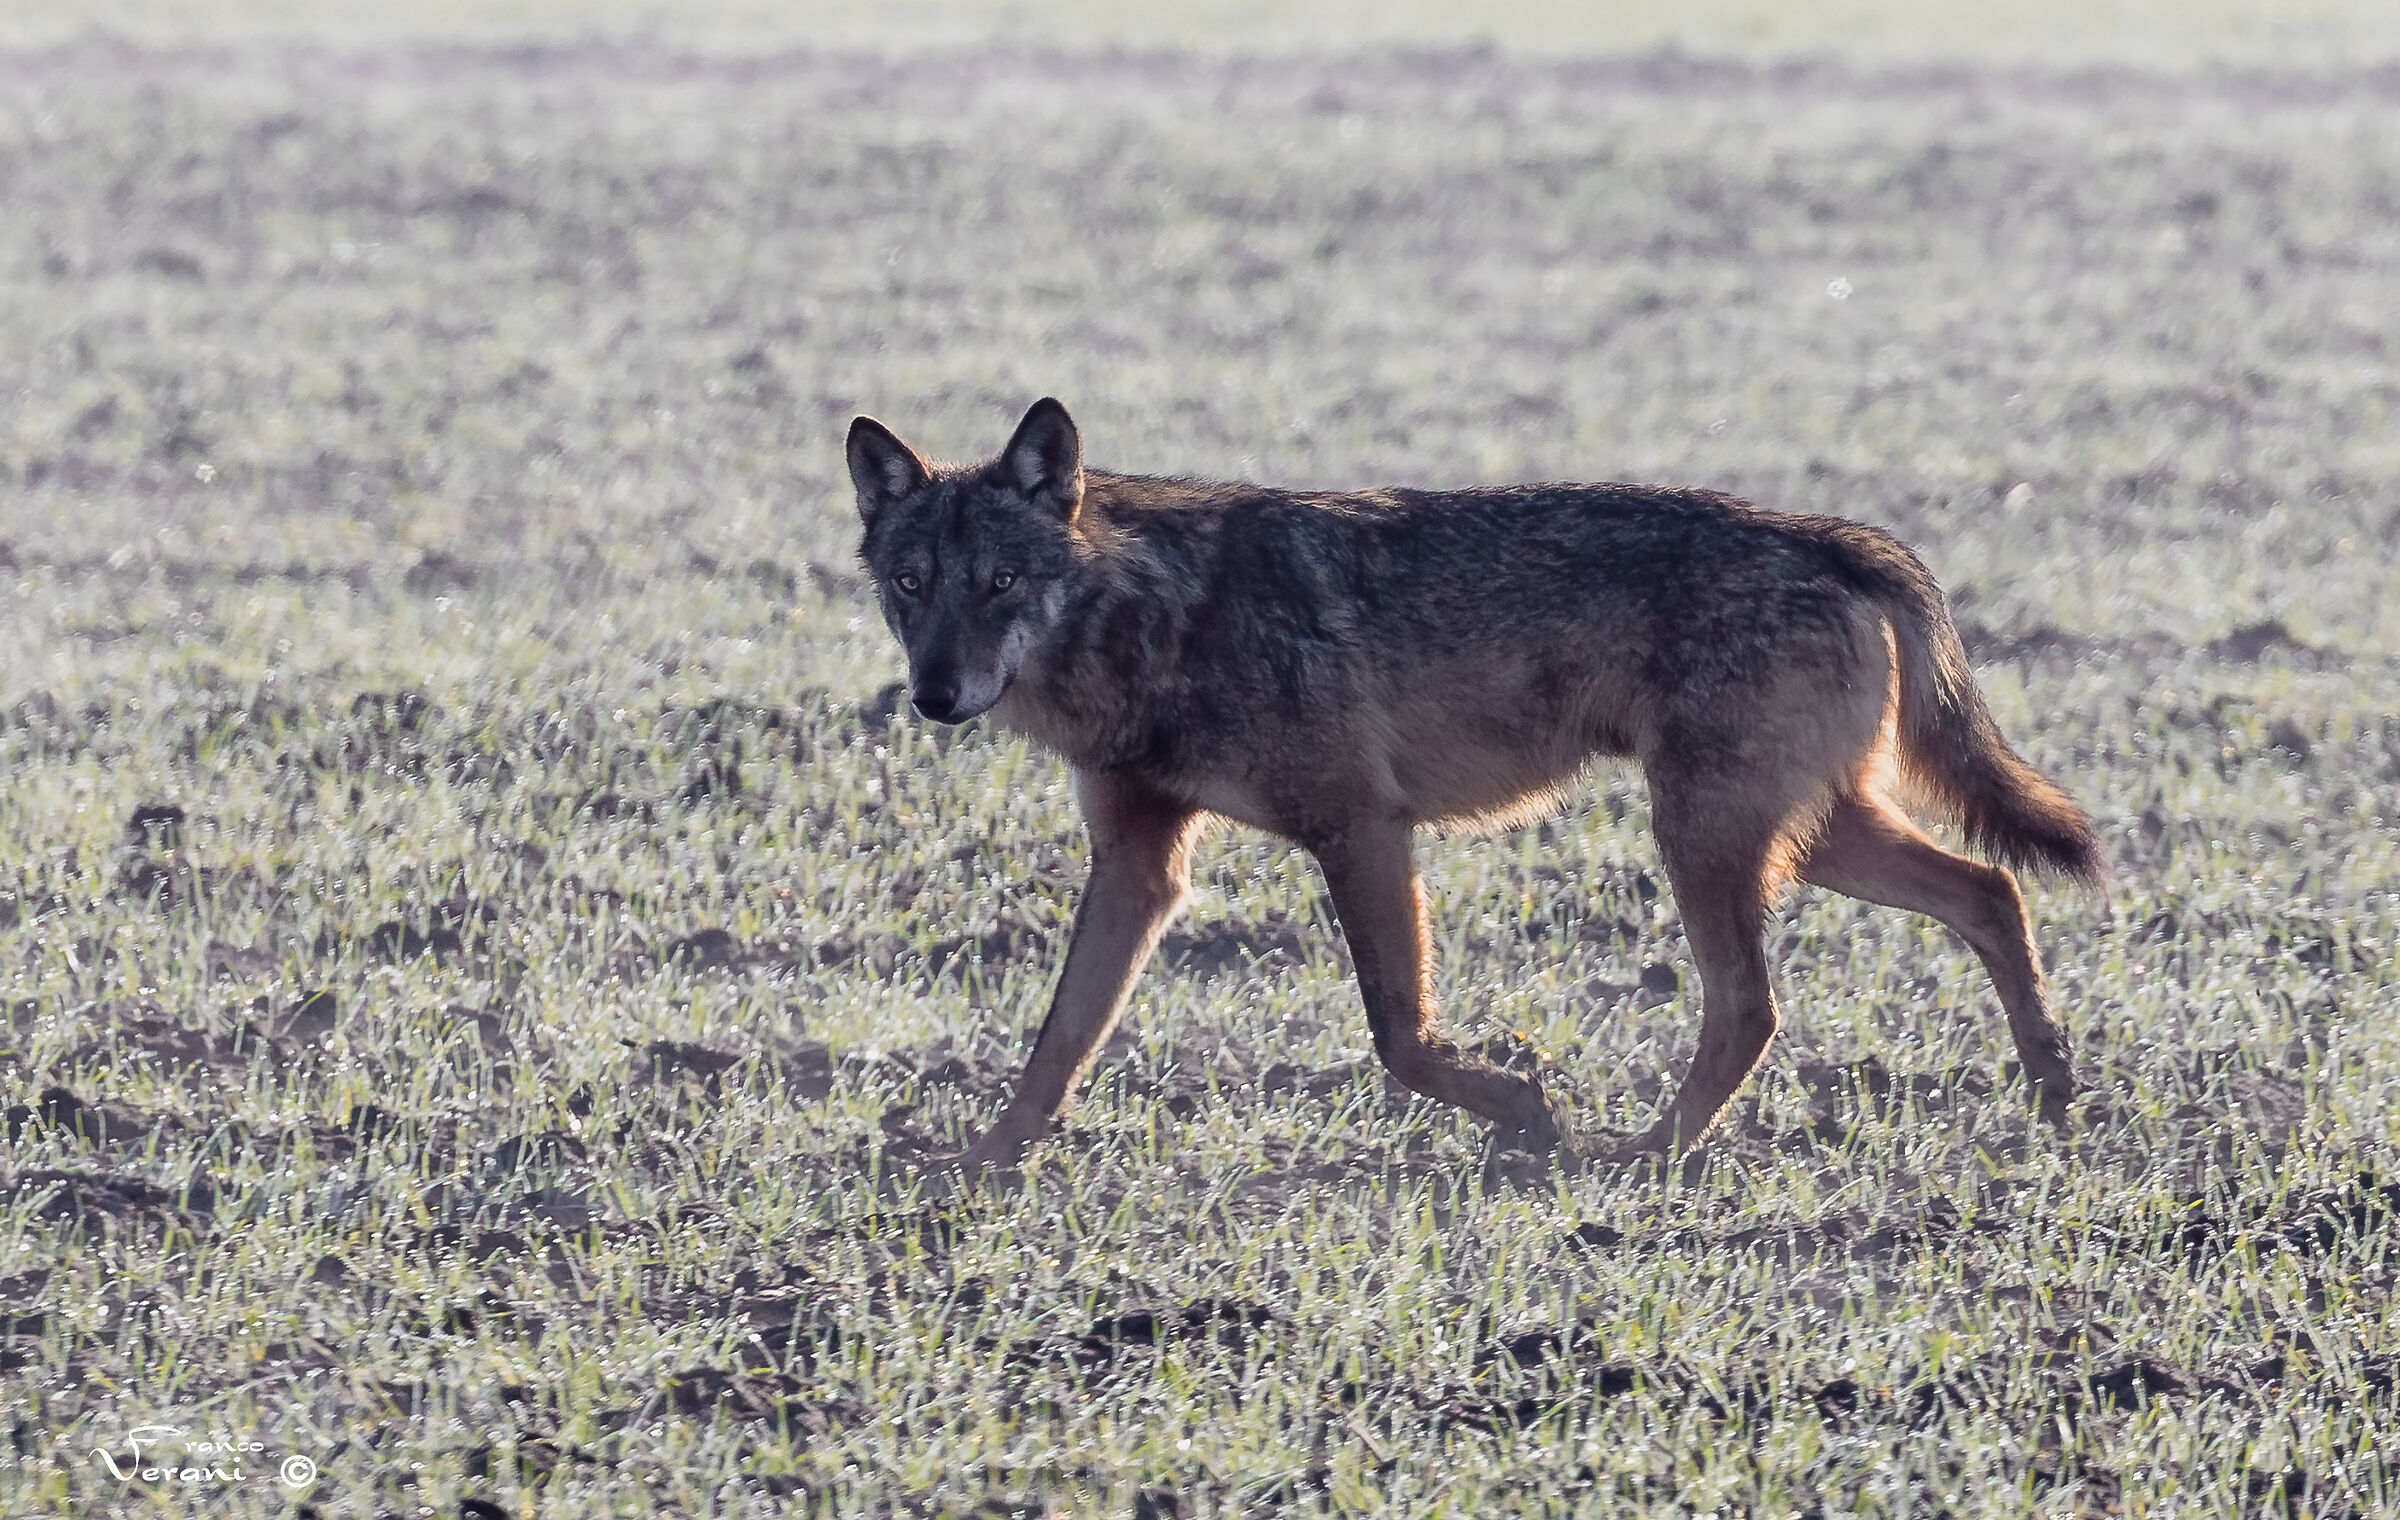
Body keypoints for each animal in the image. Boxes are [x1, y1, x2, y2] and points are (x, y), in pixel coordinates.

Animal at [847, 398, 2101, 1173]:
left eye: (1002, 581)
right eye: (912, 584)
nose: (936, 694)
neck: (1156, 623)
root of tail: (1830, 534)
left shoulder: (1361, 827)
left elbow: (1399, 1037)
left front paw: (1528, 1112)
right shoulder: (1141, 865)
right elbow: (1058, 1040)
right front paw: (982, 1162)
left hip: (1710, 838)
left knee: (1754, 1004)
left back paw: (1649, 1156)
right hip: (1807, 835)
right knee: (1992, 891)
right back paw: (2054, 1090)